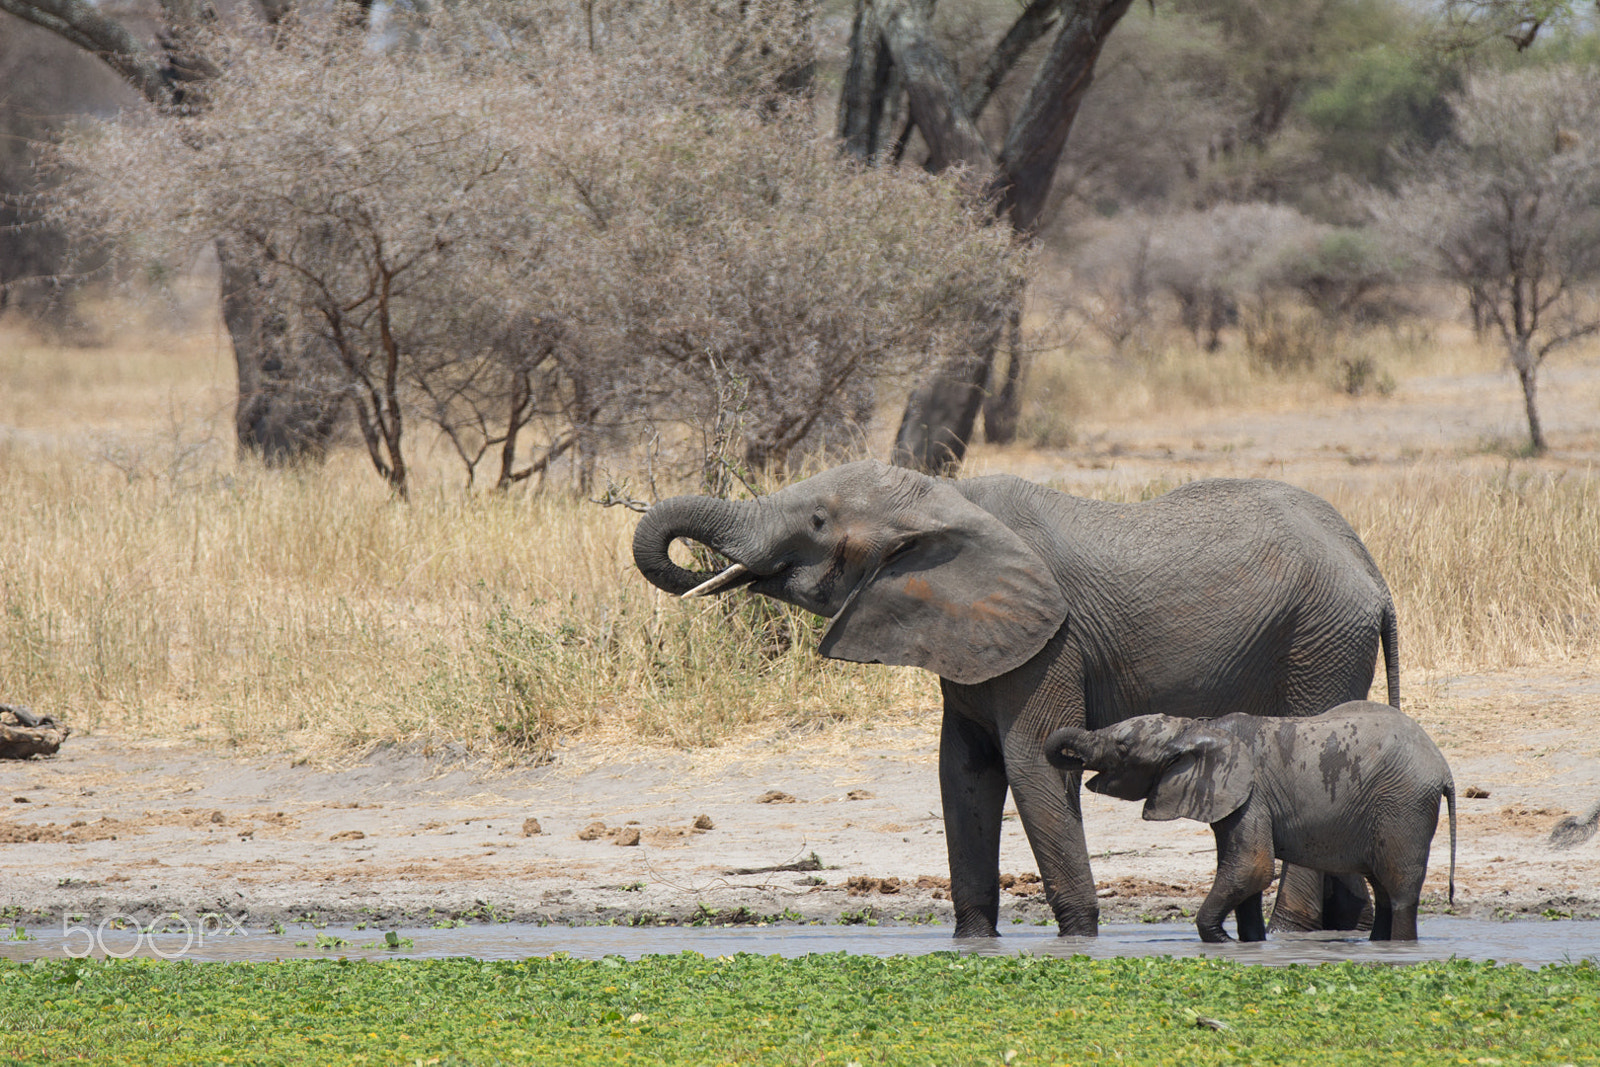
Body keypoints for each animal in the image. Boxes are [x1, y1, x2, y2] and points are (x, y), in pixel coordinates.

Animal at [630, 460, 1395, 934]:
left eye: (818, 522)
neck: (947, 496)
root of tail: (1372, 573)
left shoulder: (1051, 642)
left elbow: (1031, 766)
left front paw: (1080, 936)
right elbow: (964, 774)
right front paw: (973, 939)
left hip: (1320, 640)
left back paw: (1296, 931)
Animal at [1043, 700, 1459, 940]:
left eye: (1123, 747)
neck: (1196, 728)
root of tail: (1443, 768)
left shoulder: (1252, 795)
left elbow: (1251, 867)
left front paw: (1220, 939)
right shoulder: (1232, 799)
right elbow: (1243, 876)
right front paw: (1248, 944)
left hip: (1403, 807)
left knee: (1400, 892)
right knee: (1384, 890)